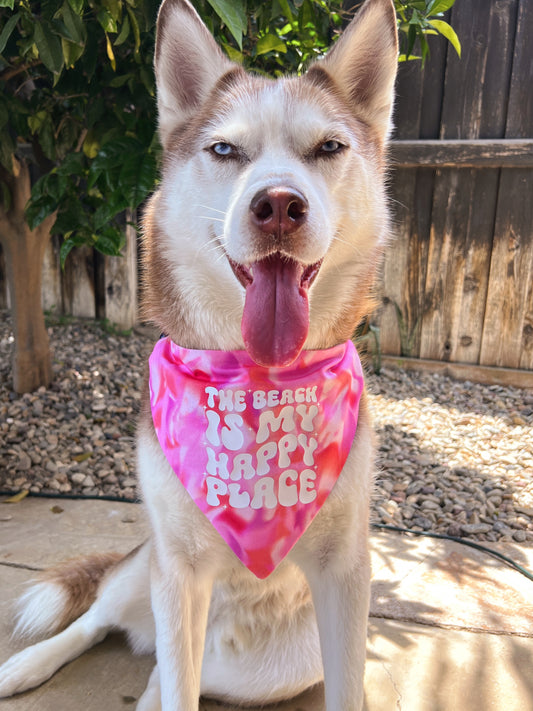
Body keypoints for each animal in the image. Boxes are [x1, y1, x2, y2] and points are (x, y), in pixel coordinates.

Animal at [0, 0, 394, 708]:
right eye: (224, 149)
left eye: (328, 147)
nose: (279, 205)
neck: (255, 380)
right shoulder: (177, 571)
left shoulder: (346, 573)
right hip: (145, 570)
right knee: (97, 620)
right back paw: (27, 666)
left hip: (281, 663)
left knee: (156, 671)